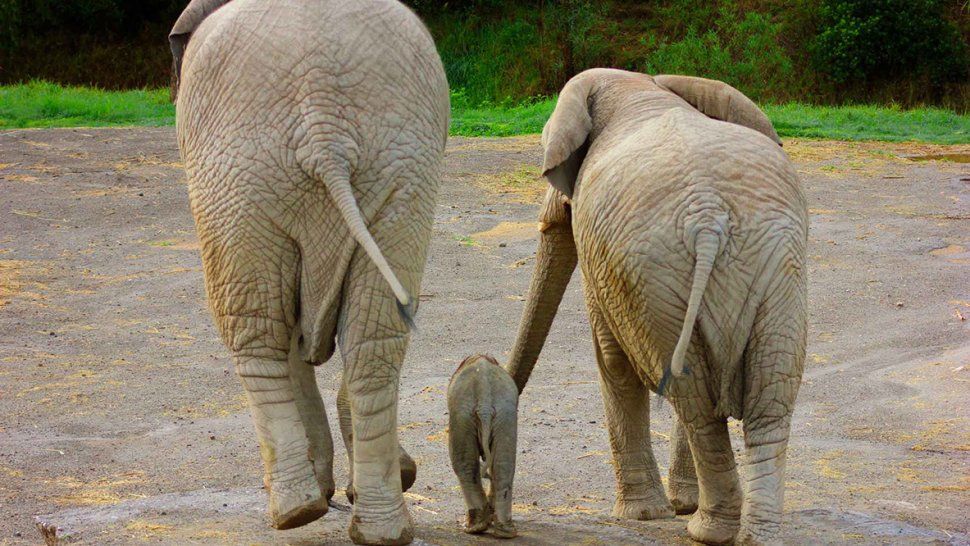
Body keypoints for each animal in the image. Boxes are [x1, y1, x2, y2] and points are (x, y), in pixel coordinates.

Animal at [170, 0, 449, 544]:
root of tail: (325, 129)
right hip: (401, 165)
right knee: (375, 334)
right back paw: (383, 528)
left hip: (238, 179)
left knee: (257, 329)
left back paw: (294, 511)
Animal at [447, 355, 519, 538]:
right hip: (505, 415)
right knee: (504, 465)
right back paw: (505, 531)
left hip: (462, 415)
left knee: (464, 464)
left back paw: (473, 527)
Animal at [505, 69, 806, 545]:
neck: (643, 84)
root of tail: (709, 218)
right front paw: (675, 507)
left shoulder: (603, 261)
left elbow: (612, 360)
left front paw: (643, 515)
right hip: (773, 268)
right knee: (764, 398)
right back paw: (754, 535)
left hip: (655, 273)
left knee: (696, 399)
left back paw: (706, 531)